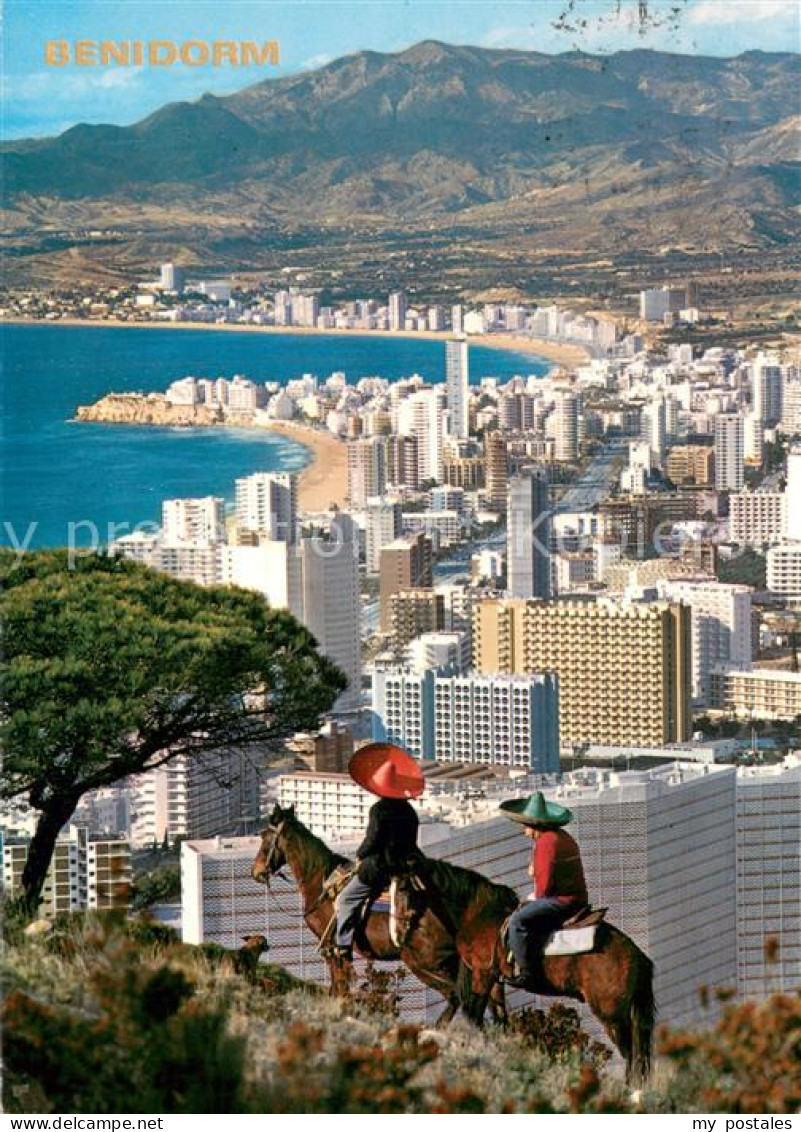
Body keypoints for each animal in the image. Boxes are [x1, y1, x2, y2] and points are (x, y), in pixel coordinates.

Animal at [250, 805, 493, 1027]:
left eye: (265, 838)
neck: (320, 881)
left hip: (424, 962)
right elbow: (340, 988)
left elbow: (338, 987)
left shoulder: (331, 948)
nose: (256, 872)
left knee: (455, 996)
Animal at [391, 855, 656, 1086]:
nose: (396, 936)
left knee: (633, 1055)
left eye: (403, 889)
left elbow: (474, 1017)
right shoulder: (495, 980)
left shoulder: (482, 975)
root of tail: (637, 957)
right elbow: (499, 1019)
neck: (476, 913)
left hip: (611, 1015)